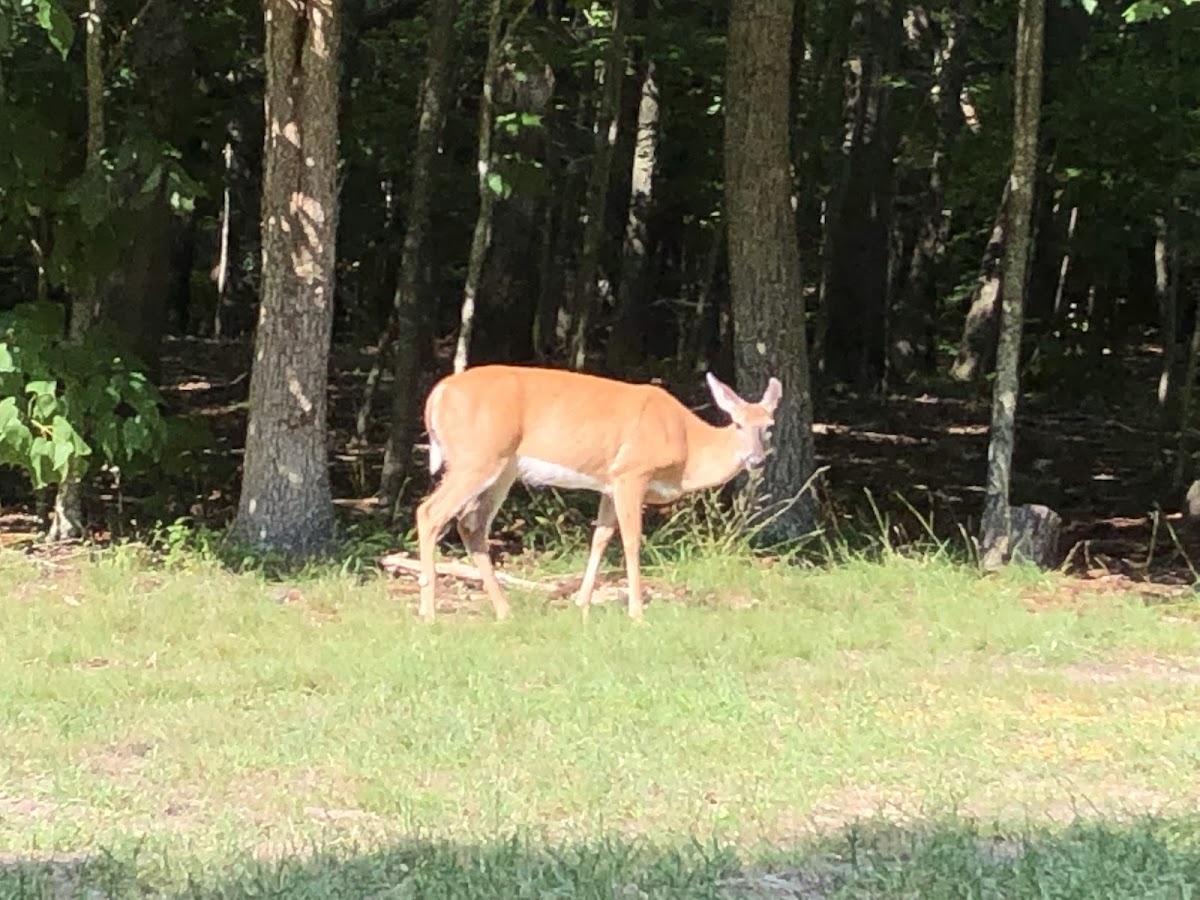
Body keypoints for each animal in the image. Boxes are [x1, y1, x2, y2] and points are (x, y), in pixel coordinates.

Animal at [417, 362, 782, 624]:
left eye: (769, 426)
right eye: (737, 424)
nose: (756, 459)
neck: (687, 447)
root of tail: (438, 393)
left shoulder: (609, 482)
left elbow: (601, 537)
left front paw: (582, 603)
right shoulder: (631, 471)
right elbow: (631, 541)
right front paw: (636, 612)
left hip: (502, 466)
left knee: (471, 523)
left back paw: (505, 611)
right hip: (477, 456)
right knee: (430, 512)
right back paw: (428, 612)